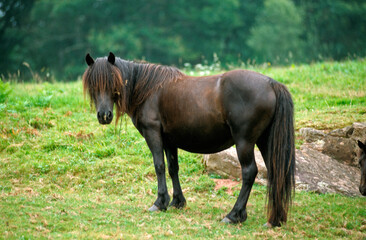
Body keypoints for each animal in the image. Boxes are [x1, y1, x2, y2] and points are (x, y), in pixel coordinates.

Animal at [82, 52, 294, 227]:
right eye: (93, 84)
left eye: (112, 81)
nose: (104, 115)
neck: (148, 89)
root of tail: (271, 83)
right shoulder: (169, 141)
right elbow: (172, 168)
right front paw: (177, 202)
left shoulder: (153, 134)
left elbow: (159, 166)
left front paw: (160, 202)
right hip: (264, 141)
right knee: (275, 171)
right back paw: (275, 219)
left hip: (244, 142)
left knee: (250, 172)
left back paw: (234, 215)